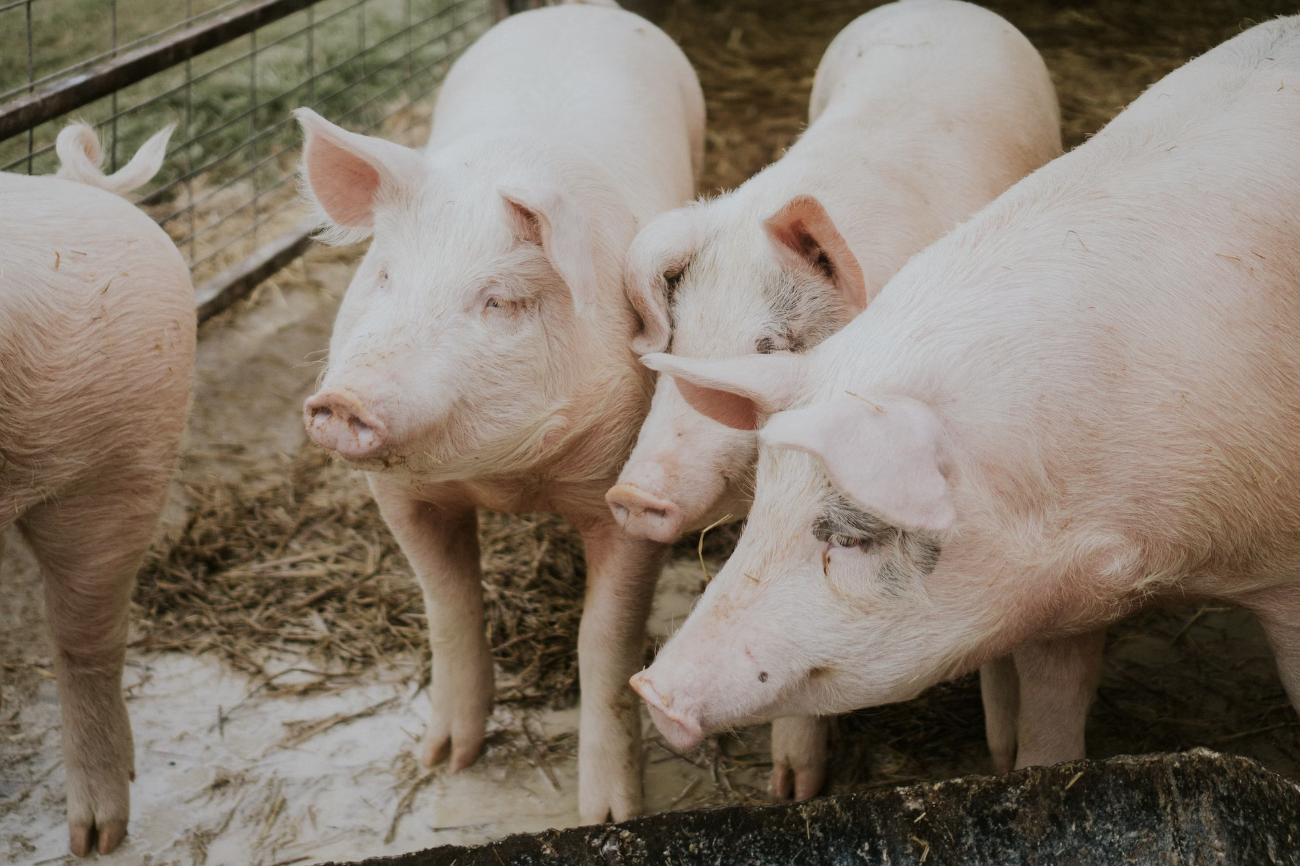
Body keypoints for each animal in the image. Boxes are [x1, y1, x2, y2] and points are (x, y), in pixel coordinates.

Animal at [295, 1, 703, 822]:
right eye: (383, 276)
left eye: (501, 302)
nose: (342, 399)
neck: (509, 480)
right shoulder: (400, 495)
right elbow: (447, 605)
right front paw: (445, 762)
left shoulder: (629, 493)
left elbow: (605, 640)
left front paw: (609, 815)